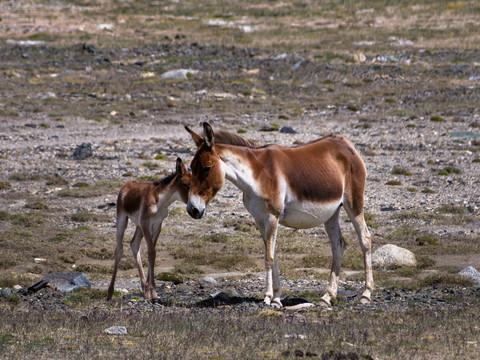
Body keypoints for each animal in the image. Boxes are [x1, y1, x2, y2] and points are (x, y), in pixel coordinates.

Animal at [107, 158, 191, 300]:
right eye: (186, 185)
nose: (194, 208)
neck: (159, 201)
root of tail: (127, 185)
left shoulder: (157, 225)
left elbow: (153, 252)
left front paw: (151, 291)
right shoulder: (146, 223)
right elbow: (151, 252)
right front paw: (154, 292)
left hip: (139, 226)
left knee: (134, 244)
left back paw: (144, 290)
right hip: (122, 220)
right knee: (119, 250)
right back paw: (110, 293)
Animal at [186, 123, 374, 306]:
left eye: (206, 168)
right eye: (191, 167)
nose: (192, 209)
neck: (256, 175)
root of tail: (345, 142)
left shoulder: (272, 217)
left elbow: (268, 257)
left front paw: (268, 297)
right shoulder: (260, 219)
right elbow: (273, 255)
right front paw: (276, 298)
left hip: (354, 203)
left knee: (365, 239)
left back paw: (366, 294)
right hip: (331, 213)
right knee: (338, 245)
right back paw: (327, 297)